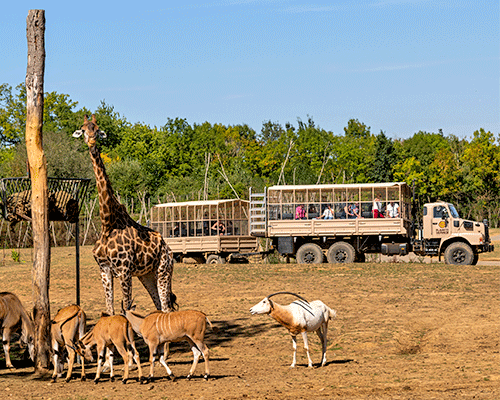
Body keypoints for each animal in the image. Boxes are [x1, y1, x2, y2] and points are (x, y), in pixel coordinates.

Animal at [73, 114, 177, 314]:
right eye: (83, 129)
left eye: (97, 129)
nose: (91, 140)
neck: (108, 223)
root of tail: (169, 250)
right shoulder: (104, 269)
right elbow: (110, 310)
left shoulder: (125, 271)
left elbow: (126, 309)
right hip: (147, 275)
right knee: (159, 307)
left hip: (163, 270)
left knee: (167, 308)